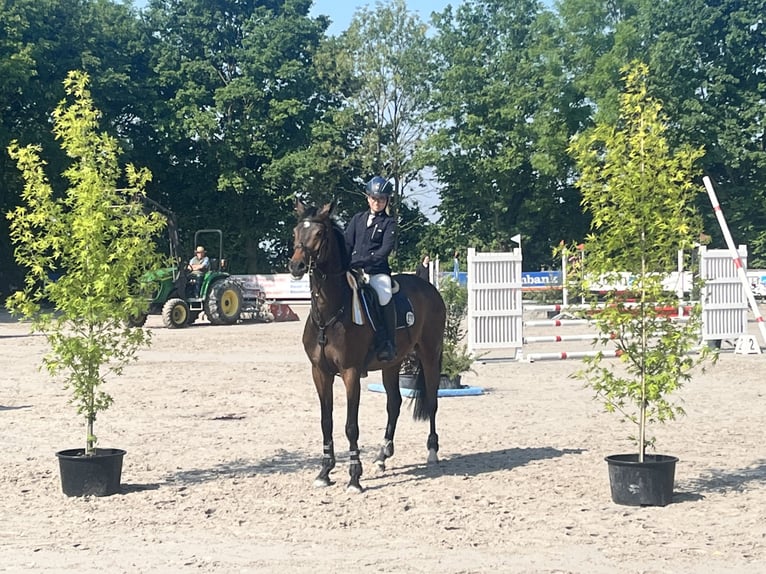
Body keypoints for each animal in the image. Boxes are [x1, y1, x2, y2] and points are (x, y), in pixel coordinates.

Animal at [288, 200, 446, 492]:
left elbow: (351, 425)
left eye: (319, 234)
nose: (296, 265)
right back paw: (383, 456)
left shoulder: (350, 372)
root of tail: (428, 286)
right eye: (296, 231)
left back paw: (432, 451)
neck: (329, 313)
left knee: (431, 400)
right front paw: (324, 472)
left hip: (430, 355)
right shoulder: (320, 372)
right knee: (394, 403)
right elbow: (326, 421)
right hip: (392, 364)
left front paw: (354, 477)